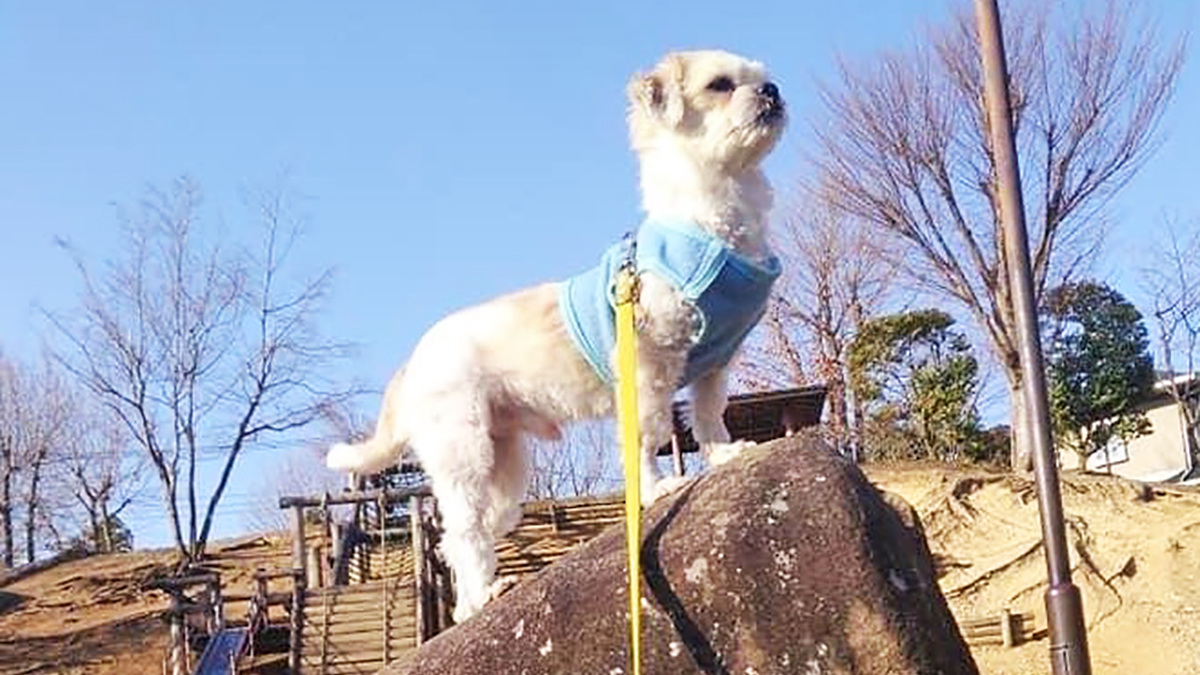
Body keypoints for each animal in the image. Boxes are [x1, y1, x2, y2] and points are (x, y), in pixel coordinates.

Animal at [326, 51, 787, 619]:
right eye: (720, 85)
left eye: (762, 77)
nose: (771, 91)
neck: (712, 224)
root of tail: (412, 361)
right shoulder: (647, 370)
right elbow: (647, 437)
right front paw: (656, 491)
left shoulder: (715, 364)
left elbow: (707, 416)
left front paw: (724, 455)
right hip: (464, 450)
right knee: (463, 532)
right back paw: (481, 596)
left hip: (505, 465)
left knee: (472, 530)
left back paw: (470, 601)